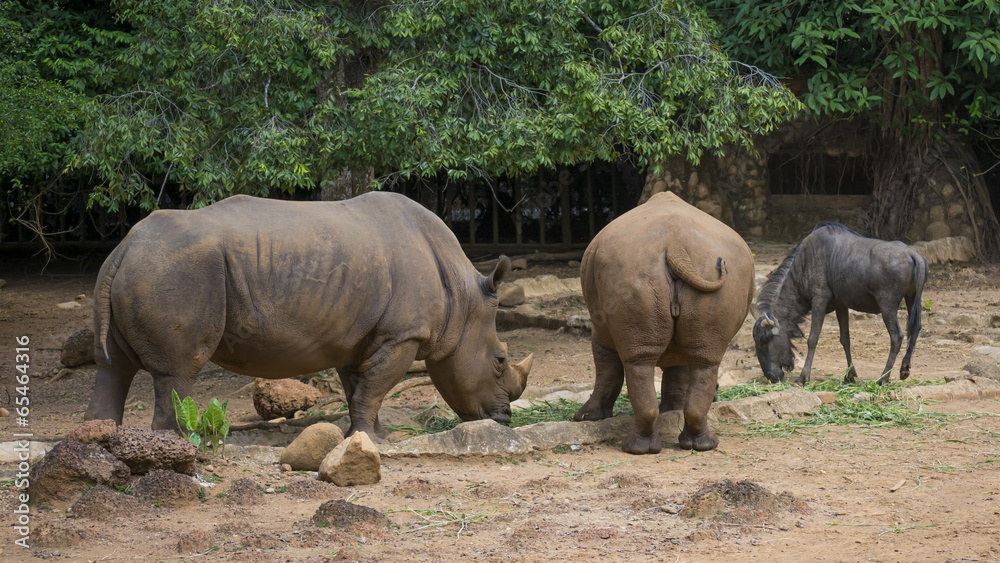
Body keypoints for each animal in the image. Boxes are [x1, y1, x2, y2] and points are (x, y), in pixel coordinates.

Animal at [84, 192, 533, 439]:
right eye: (500, 360)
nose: (504, 420)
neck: (462, 298)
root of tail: (123, 248)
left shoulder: (363, 337)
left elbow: (360, 389)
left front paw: (370, 436)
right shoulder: (404, 334)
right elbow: (375, 386)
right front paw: (373, 440)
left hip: (142, 267)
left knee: (112, 367)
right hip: (175, 271)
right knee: (176, 373)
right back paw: (180, 450)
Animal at [574, 191, 754, 454]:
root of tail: (676, 248)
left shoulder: (600, 333)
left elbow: (606, 371)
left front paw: (586, 418)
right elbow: (679, 372)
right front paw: (673, 410)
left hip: (631, 271)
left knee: (638, 362)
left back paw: (634, 448)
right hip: (674, 272)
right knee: (704, 360)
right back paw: (700, 445)